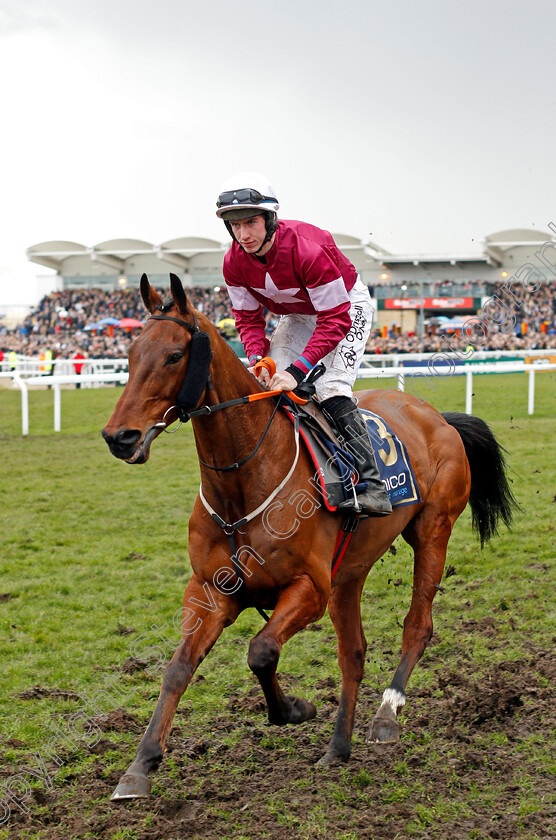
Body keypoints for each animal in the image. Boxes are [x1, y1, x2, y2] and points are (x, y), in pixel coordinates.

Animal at [102, 272, 516, 796]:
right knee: (353, 653)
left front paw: (295, 709)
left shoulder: (308, 589)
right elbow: (177, 668)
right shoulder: (210, 591)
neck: (244, 483)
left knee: (417, 626)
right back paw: (338, 747)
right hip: (349, 573)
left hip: (432, 533)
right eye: (131, 354)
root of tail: (438, 417)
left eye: (175, 355)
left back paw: (386, 714)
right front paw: (140, 765)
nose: (120, 438)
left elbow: (261, 651)